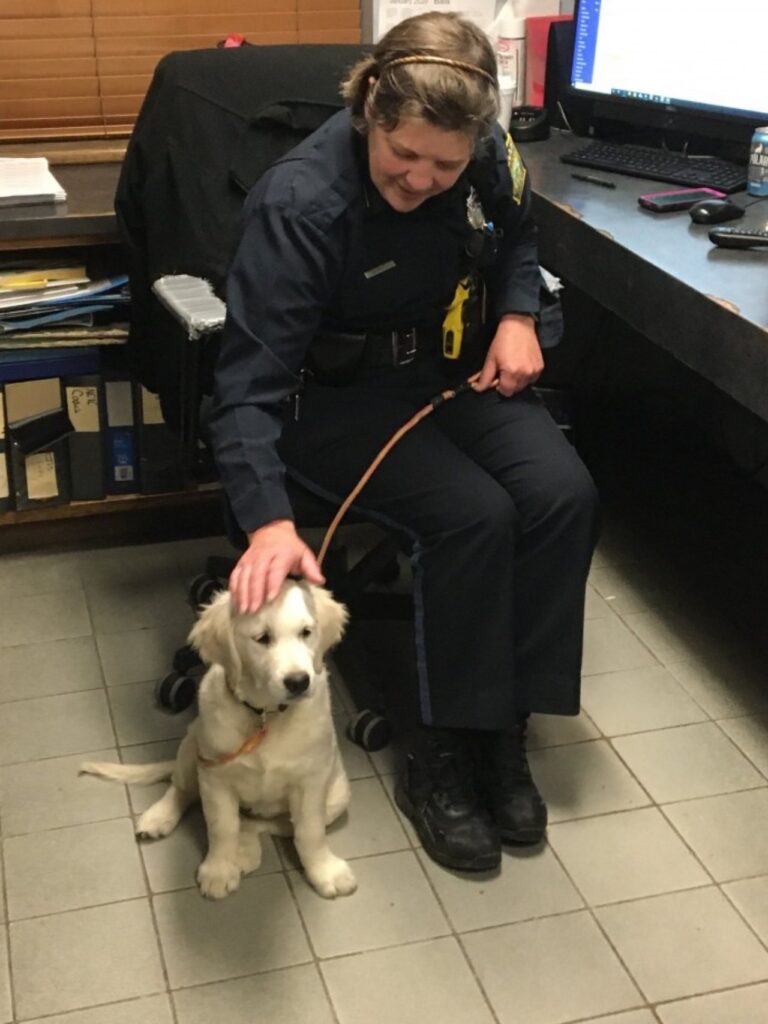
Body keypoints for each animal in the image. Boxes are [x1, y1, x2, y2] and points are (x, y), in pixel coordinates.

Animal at [81, 581, 358, 901]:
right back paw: (158, 818)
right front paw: (218, 871)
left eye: (306, 632)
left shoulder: (310, 781)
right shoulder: (216, 777)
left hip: (338, 796)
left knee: (261, 824)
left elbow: (309, 831)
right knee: (183, 789)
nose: (299, 682)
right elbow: (222, 827)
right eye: (262, 638)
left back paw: (246, 851)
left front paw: (324, 871)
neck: (265, 714)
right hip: (193, 743)